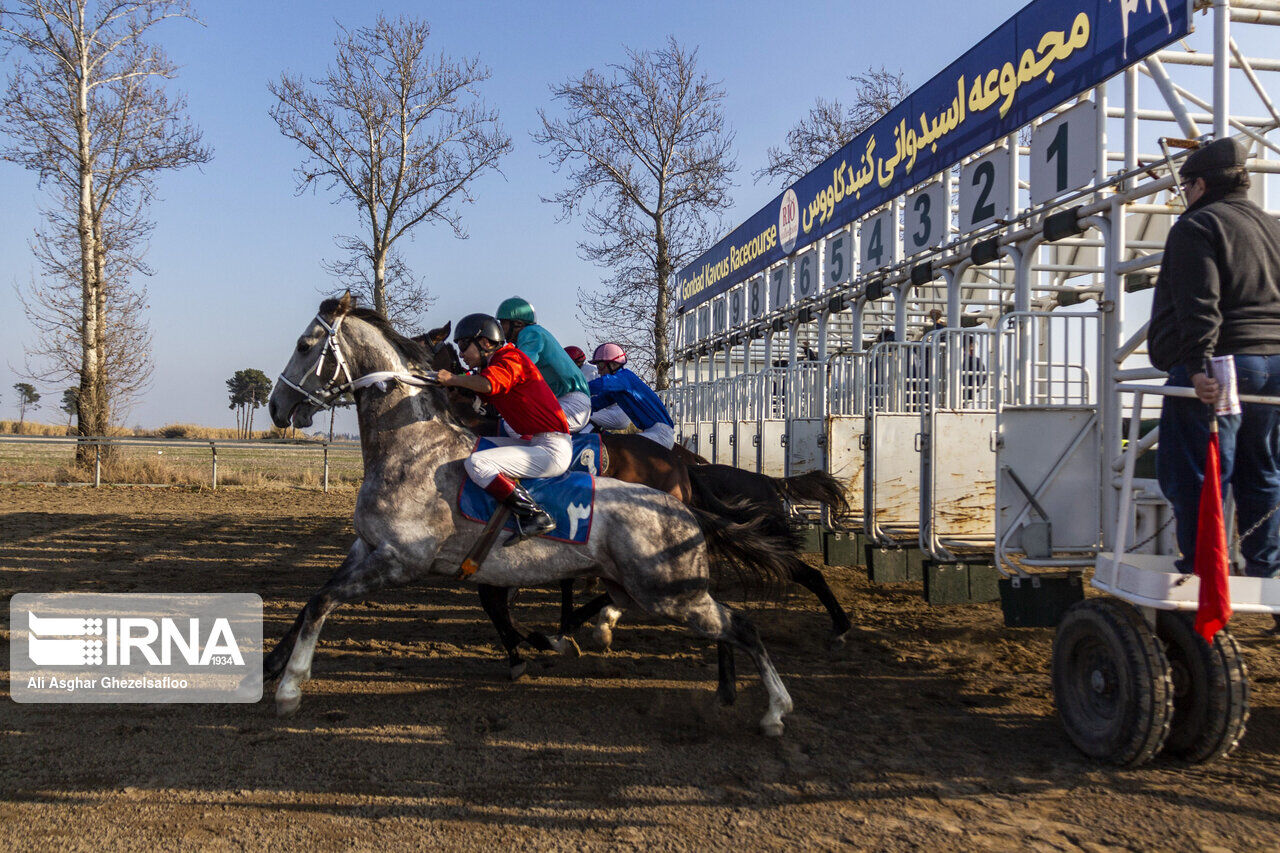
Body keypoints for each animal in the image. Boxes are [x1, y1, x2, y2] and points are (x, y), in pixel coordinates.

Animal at [258, 295, 793, 732]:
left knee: (741, 626)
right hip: (654, 588)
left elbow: (325, 602)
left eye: (304, 346)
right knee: (725, 622)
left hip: (668, 593)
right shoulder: (366, 546)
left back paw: (774, 710)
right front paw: (271, 664)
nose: (276, 407)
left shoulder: (400, 561)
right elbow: (314, 599)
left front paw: (290, 688)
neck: (412, 448)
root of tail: (684, 506)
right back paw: (726, 692)